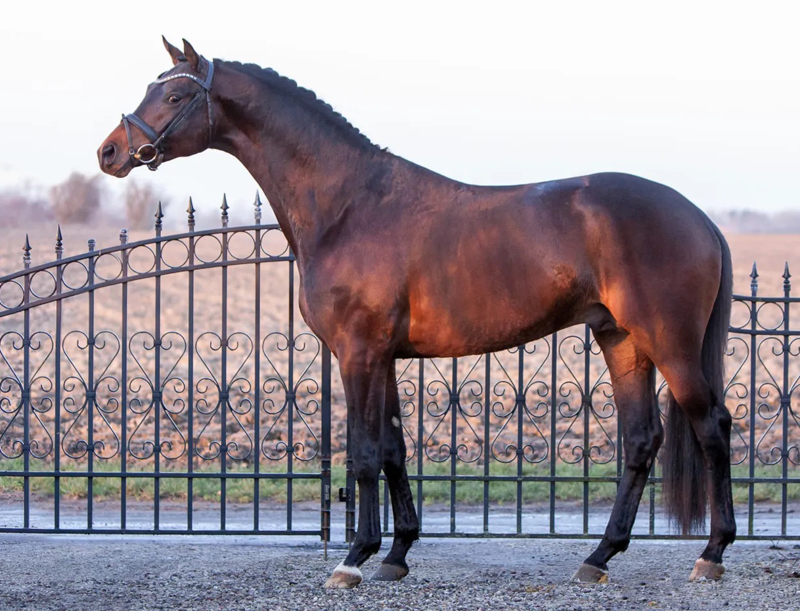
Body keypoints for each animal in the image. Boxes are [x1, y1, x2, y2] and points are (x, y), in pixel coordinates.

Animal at [100, 37, 736, 588]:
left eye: (175, 97)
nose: (109, 152)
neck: (348, 205)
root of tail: (699, 218)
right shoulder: (382, 356)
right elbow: (392, 451)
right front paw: (397, 553)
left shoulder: (358, 352)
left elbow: (362, 454)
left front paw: (353, 559)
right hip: (621, 340)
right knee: (641, 440)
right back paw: (599, 556)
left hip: (670, 343)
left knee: (712, 427)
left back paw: (710, 554)